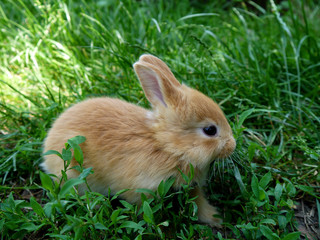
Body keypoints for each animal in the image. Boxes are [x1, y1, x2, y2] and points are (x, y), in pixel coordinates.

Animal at [42, 54, 235, 227]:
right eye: (210, 130)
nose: (232, 146)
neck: (167, 146)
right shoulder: (141, 191)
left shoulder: (192, 186)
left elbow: (199, 204)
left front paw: (216, 219)